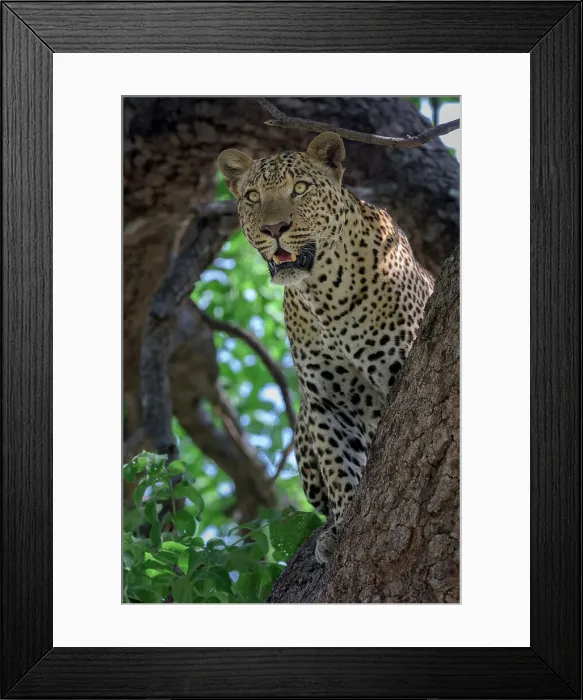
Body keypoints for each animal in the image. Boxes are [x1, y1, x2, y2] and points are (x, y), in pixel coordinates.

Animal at [218, 132, 434, 564]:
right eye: (252, 196)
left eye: (300, 188)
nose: (274, 228)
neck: (323, 293)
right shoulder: (325, 402)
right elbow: (339, 466)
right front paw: (342, 525)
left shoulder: (402, 367)